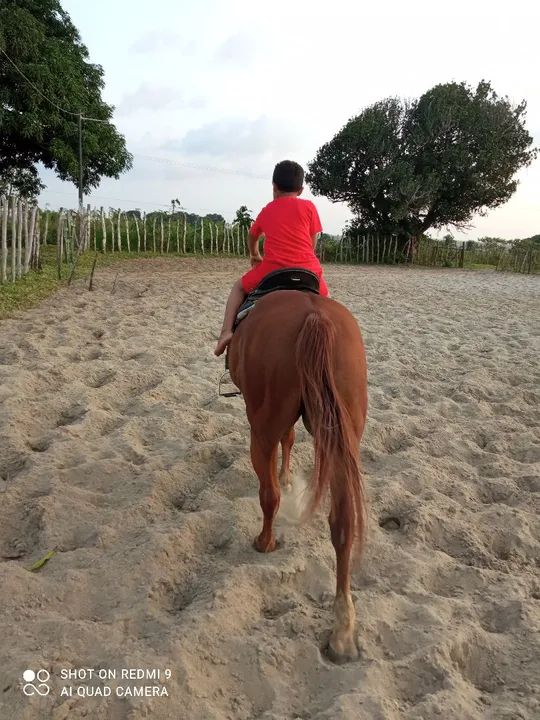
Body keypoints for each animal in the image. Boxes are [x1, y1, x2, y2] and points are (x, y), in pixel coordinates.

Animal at [227, 285, 368, 662]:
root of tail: (314, 316)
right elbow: (290, 440)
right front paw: (290, 477)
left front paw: (286, 479)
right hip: (341, 436)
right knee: (343, 522)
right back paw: (343, 630)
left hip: (262, 429)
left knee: (269, 495)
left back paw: (265, 542)